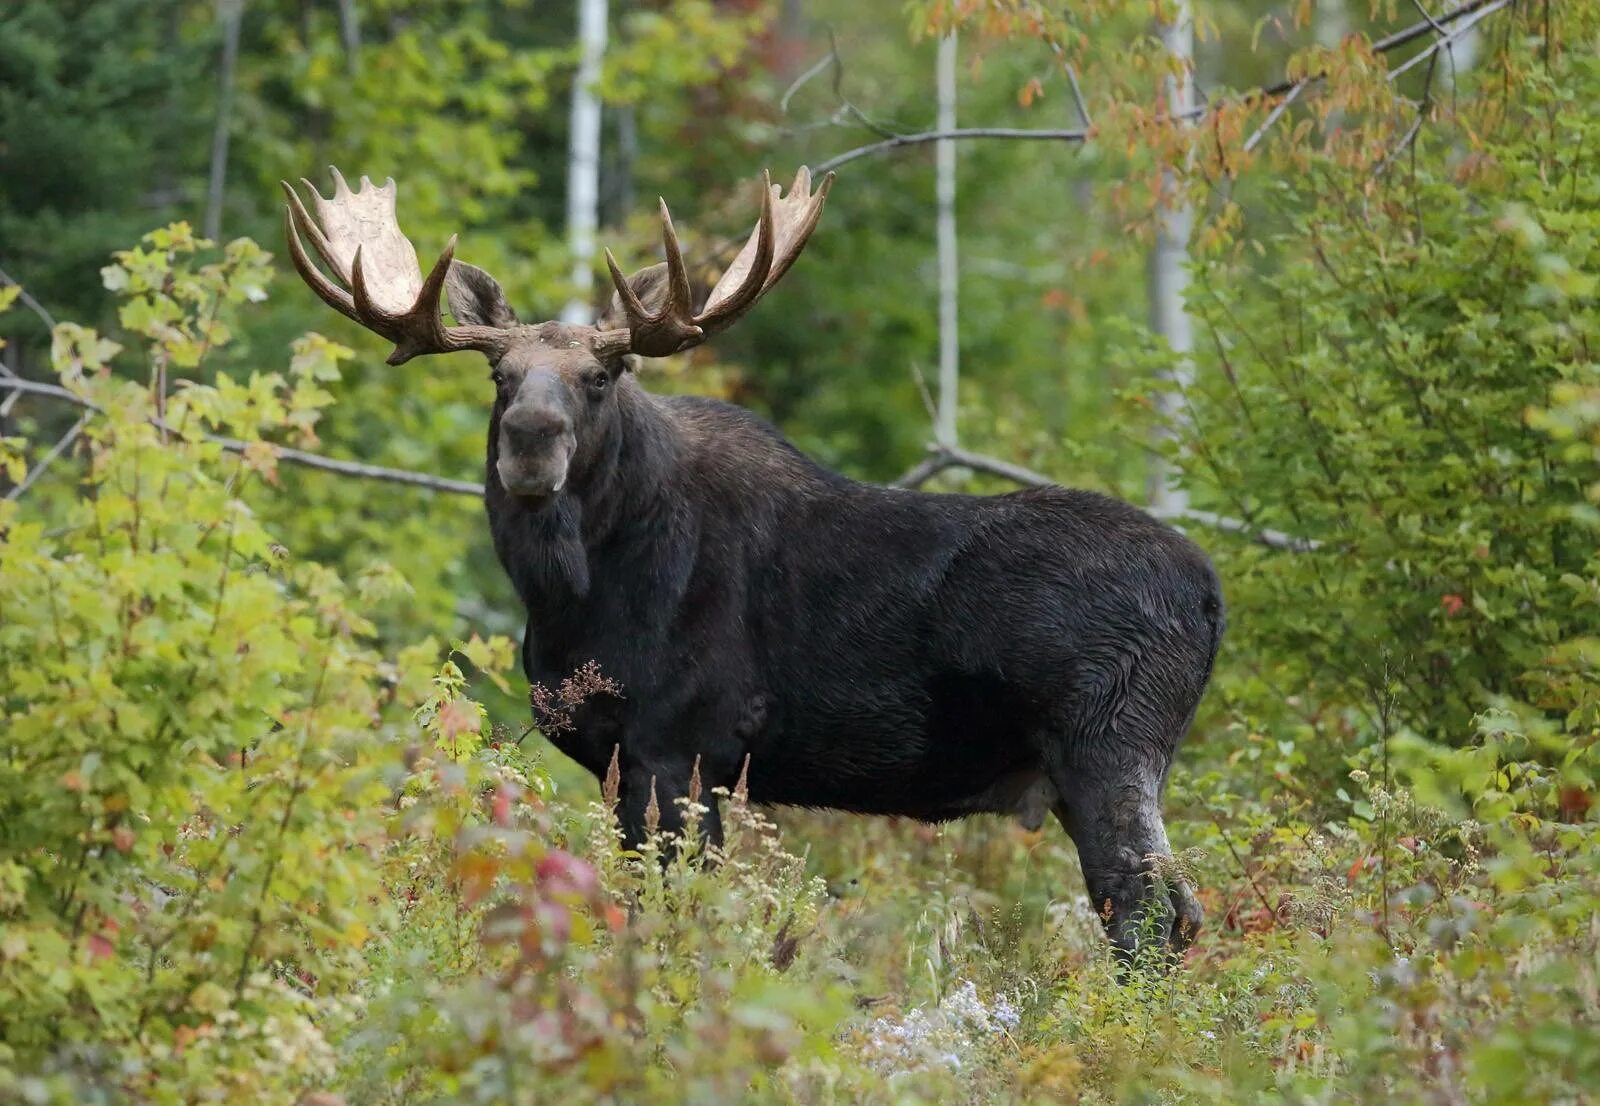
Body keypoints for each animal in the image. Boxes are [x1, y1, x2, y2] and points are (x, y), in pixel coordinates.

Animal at [281, 166, 1222, 960]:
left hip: (1109, 742)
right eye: (499, 375)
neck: (569, 599)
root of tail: (1213, 597)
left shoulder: (684, 744)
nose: (531, 439)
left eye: (603, 374)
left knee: (1148, 912)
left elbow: (675, 909)